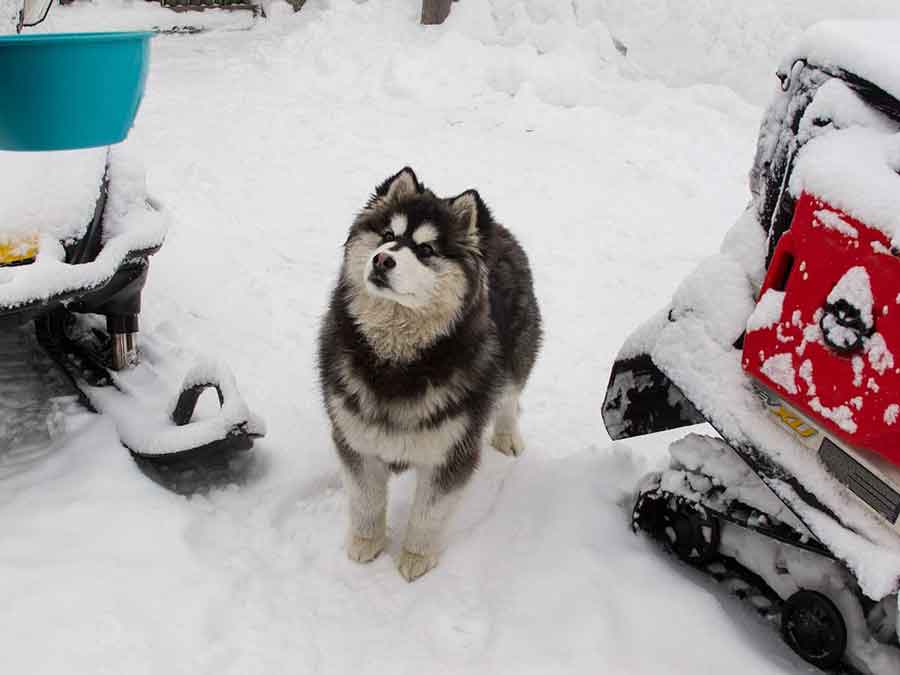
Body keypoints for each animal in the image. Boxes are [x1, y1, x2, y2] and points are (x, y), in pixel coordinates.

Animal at [318, 168, 540, 580]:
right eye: (387, 235)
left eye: (425, 251)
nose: (382, 260)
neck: (396, 361)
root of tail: (494, 228)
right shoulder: (356, 438)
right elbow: (366, 499)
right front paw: (367, 542)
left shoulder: (453, 451)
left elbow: (428, 513)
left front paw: (415, 557)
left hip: (517, 357)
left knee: (509, 397)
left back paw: (507, 436)